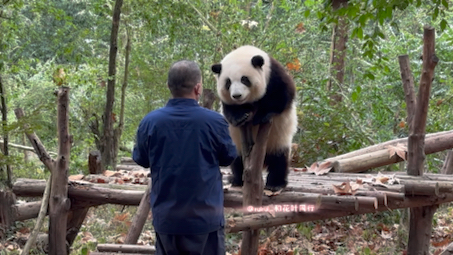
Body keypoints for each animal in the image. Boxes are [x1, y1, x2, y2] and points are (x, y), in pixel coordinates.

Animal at [211, 45, 296, 191]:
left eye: (244, 79)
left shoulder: (273, 74)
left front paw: (262, 115)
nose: (237, 95)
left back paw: (275, 183)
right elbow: (230, 109)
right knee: (237, 161)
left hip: (278, 139)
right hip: (237, 144)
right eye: (228, 82)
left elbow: (283, 95)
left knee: (279, 159)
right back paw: (237, 179)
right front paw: (241, 116)